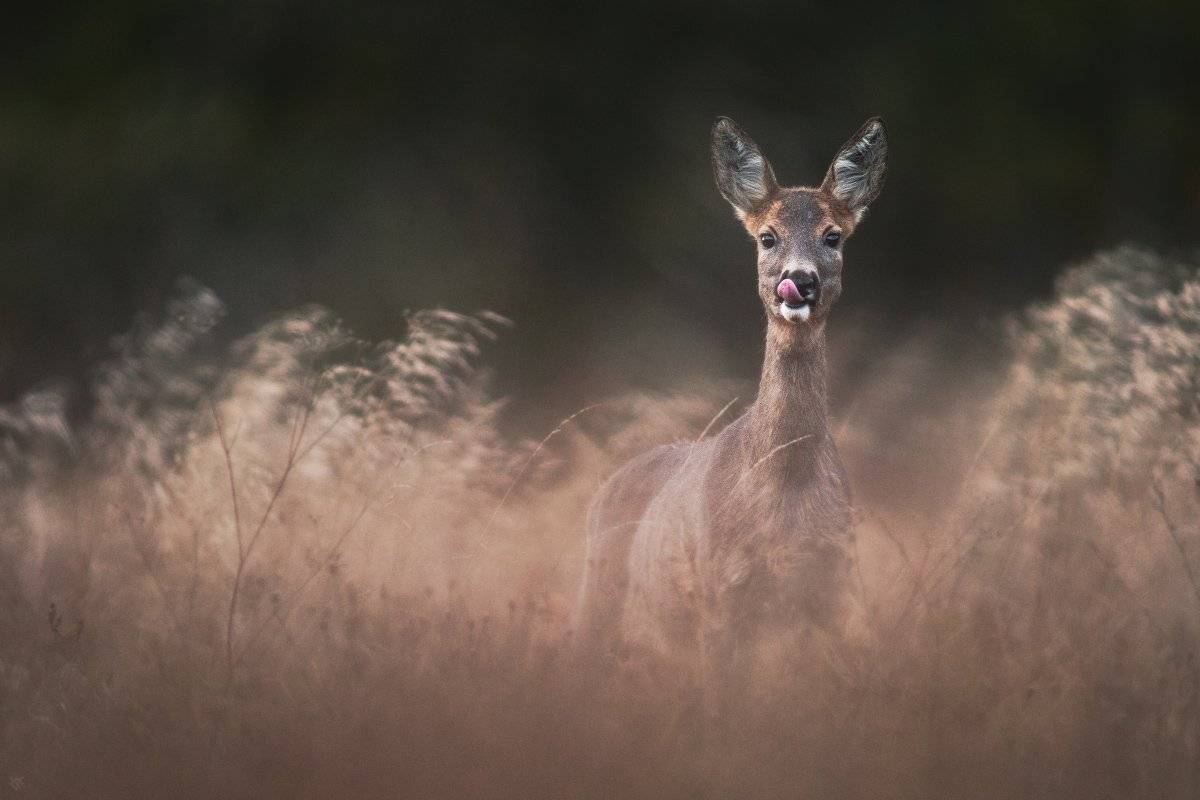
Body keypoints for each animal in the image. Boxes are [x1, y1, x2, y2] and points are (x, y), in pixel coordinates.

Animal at [574, 117, 887, 713]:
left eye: (833, 235)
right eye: (767, 236)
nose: (799, 281)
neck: (784, 493)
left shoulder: (838, 584)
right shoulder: (720, 591)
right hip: (600, 596)